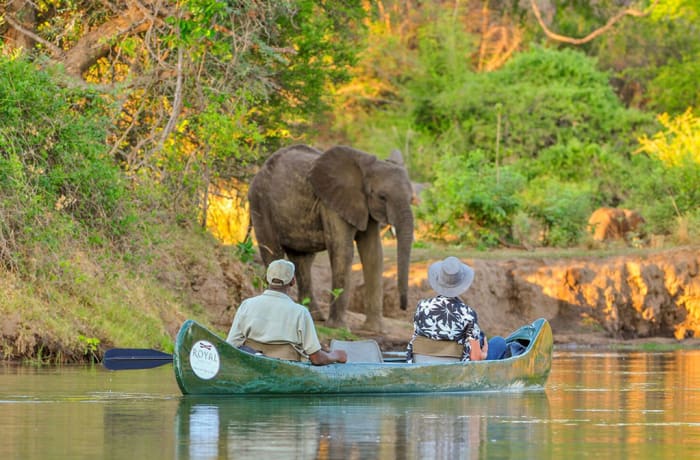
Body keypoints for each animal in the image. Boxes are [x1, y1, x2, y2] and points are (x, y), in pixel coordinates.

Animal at [249, 144, 416, 330]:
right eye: (382, 197)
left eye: (411, 198)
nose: (403, 307)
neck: (366, 168)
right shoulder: (331, 203)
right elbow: (343, 250)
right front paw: (339, 328)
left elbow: (373, 254)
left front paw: (373, 330)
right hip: (260, 203)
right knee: (274, 252)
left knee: (302, 261)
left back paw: (315, 316)